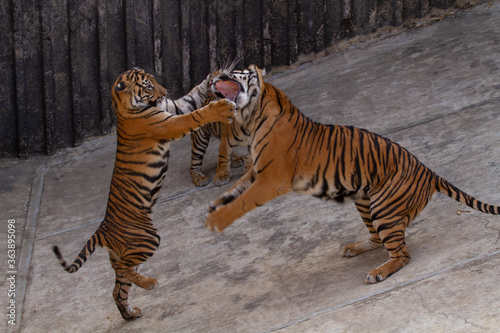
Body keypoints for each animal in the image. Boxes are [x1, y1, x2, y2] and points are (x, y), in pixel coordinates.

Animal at [51, 67, 235, 320]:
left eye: (155, 81)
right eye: (148, 86)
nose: (164, 92)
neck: (124, 107)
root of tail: (102, 230)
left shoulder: (170, 108)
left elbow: (191, 98)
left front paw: (211, 79)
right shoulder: (168, 123)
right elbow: (194, 116)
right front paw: (219, 108)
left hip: (128, 253)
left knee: (118, 286)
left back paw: (131, 313)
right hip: (147, 239)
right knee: (122, 271)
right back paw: (150, 284)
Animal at [204, 64, 500, 282]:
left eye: (238, 70)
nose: (214, 72)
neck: (253, 115)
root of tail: (429, 172)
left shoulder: (270, 179)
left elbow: (243, 201)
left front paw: (216, 221)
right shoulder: (256, 170)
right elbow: (235, 191)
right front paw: (214, 207)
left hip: (384, 209)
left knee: (402, 255)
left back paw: (377, 273)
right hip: (365, 201)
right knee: (378, 240)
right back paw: (354, 248)